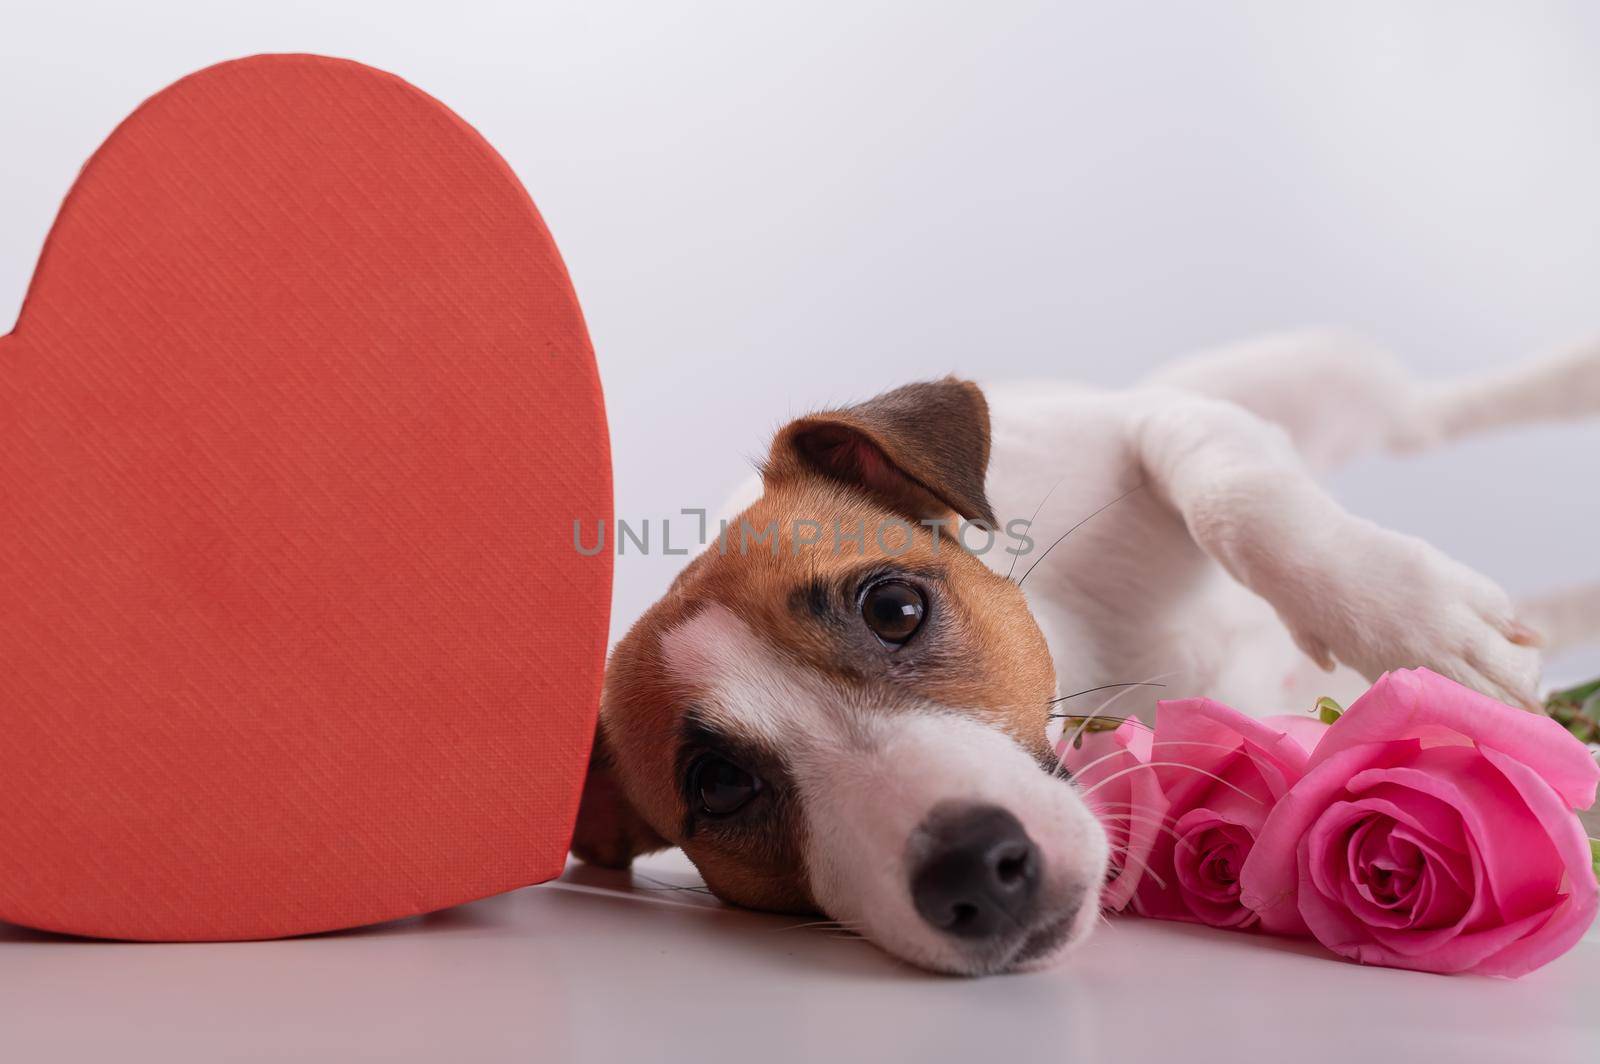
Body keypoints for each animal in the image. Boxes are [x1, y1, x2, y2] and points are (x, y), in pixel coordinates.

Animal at [569, 332, 1593, 972]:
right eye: (718, 787)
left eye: (895, 608)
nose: (974, 869)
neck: (1098, 651)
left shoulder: (1151, 428)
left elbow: (1232, 494)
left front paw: (1420, 623)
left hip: (1317, 386)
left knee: (1435, 409)